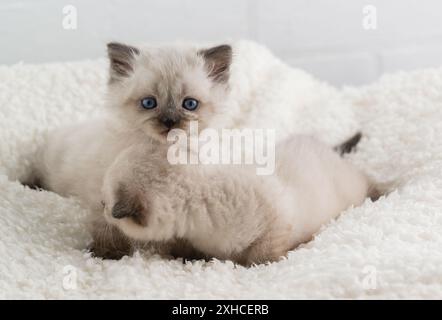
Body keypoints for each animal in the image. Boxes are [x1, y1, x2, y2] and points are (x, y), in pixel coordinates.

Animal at [98, 134, 374, 266]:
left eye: (105, 204)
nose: (101, 209)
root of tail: (328, 148)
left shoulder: (276, 223)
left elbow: (260, 258)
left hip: (353, 191)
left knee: (369, 183)